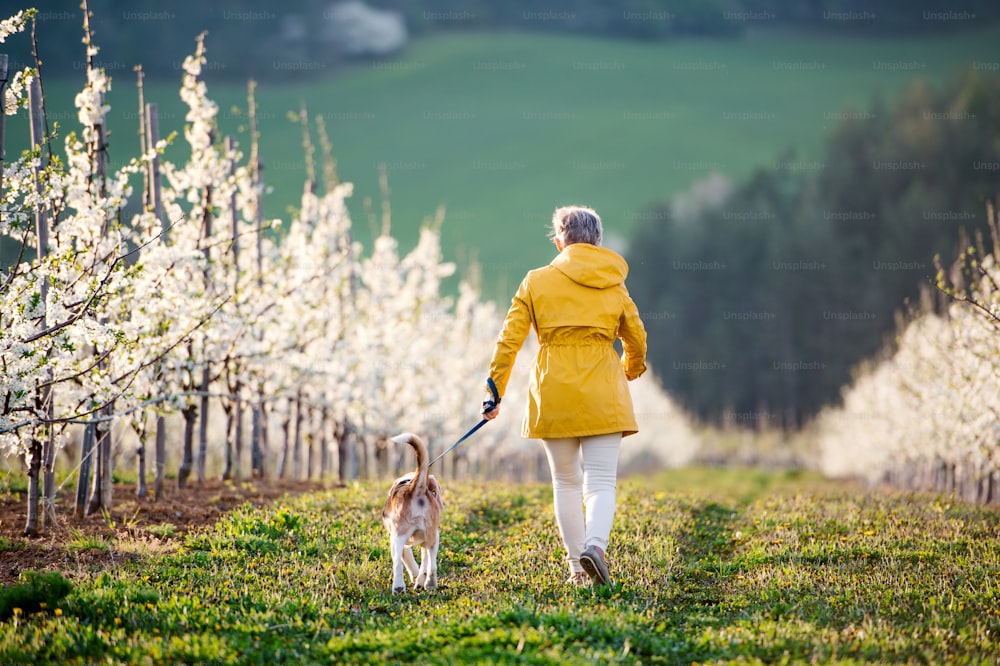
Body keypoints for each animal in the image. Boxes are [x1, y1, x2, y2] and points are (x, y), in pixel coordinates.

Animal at [380, 430, 444, 592]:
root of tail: (415, 488)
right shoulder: (426, 541)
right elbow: (425, 562)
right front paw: (420, 579)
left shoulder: (402, 542)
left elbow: (407, 558)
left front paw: (415, 576)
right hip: (433, 537)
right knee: (432, 565)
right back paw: (430, 584)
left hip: (397, 537)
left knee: (397, 563)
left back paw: (398, 587)